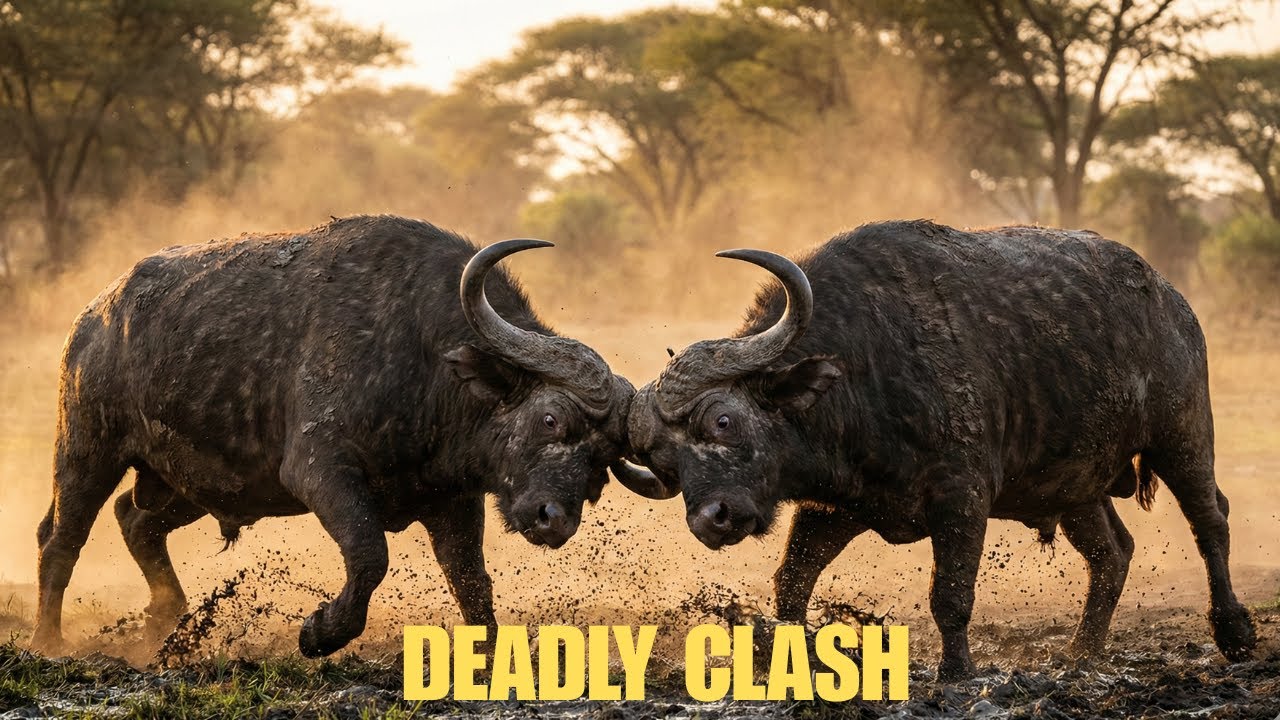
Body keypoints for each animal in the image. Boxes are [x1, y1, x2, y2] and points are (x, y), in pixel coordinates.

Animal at [33, 215, 651, 657]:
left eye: (601, 464)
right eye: (551, 419)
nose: (554, 520)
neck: (426, 362)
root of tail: (96, 313)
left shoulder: (454, 501)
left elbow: (473, 583)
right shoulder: (320, 470)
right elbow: (370, 553)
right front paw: (321, 631)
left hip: (195, 482)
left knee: (134, 520)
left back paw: (165, 623)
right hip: (86, 449)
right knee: (60, 540)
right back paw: (49, 641)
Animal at [621, 220, 1258, 680]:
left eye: (723, 420)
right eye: (666, 465)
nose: (712, 520)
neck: (863, 371)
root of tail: (1170, 300)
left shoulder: (963, 499)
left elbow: (949, 593)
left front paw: (956, 671)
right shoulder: (832, 511)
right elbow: (790, 583)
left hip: (1183, 435)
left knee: (1211, 521)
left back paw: (1234, 632)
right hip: (1077, 485)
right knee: (1113, 552)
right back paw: (1082, 652)